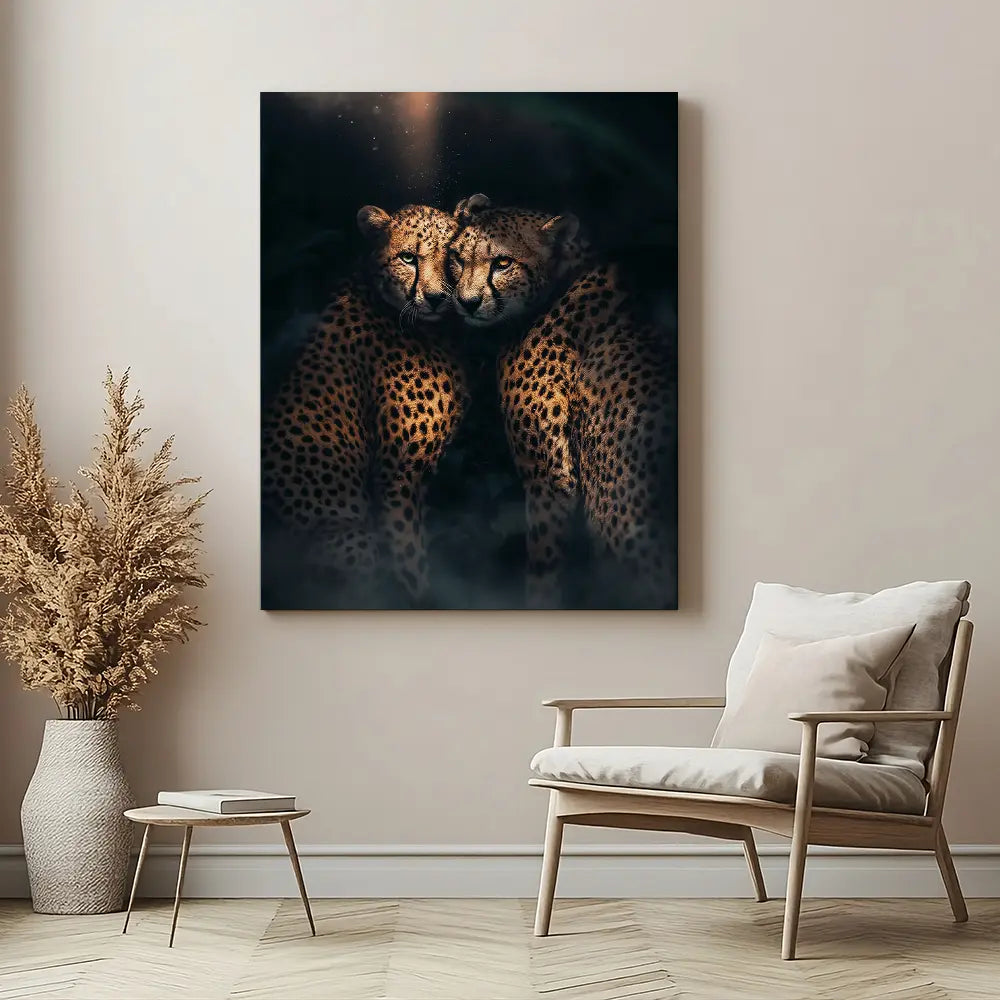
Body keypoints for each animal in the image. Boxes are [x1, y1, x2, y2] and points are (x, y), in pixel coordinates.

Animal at [261, 203, 467, 608]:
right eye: (408, 257)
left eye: (451, 256)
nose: (436, 297)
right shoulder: (397, 476)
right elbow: (409, 560)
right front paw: (420, 599)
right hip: (349, 537)